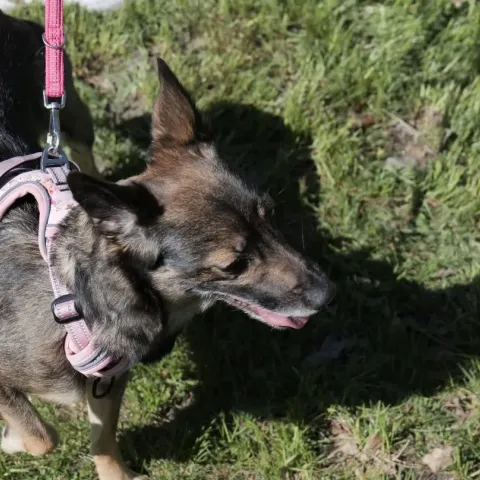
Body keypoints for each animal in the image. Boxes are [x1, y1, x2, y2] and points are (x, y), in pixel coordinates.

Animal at [0, 11, 334, 480]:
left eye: (270, 215)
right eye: (233, 265)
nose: (328, 294)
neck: (72, 297)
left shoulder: (110, 383)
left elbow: (102, 439)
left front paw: (114, 475)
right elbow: (42, 437)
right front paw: (8, 440)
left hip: (71, 112)